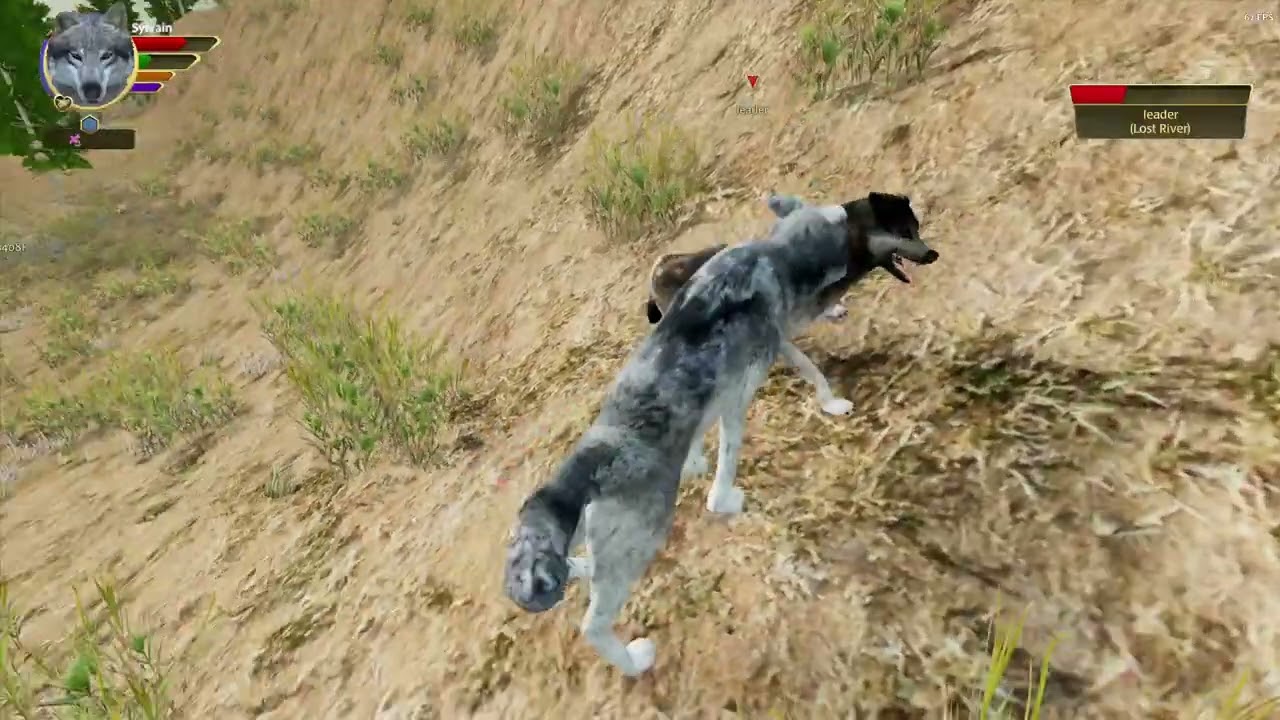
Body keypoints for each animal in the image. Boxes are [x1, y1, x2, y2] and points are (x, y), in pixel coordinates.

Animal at [643, 191, 932, 417]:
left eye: (916, 228)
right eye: (903, 232)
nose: (934, 254)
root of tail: (659, 267)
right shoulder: (780, 338)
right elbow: (810, 368)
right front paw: (832, 404)